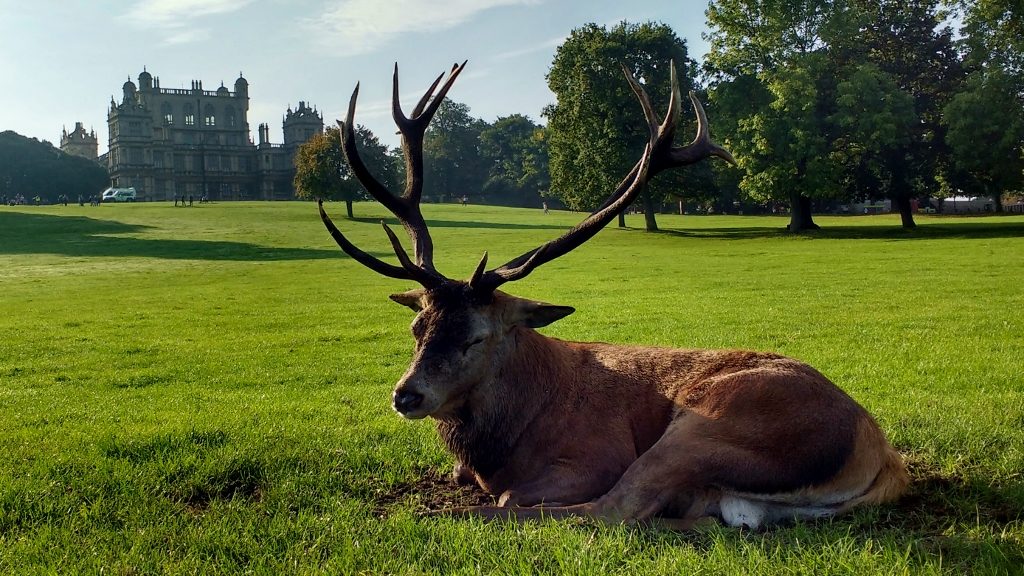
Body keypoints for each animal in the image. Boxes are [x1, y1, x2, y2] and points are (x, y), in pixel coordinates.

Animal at [318, 60, 909, 529]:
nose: (407, 395)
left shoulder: (596, 455)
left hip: (713, 424)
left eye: (476, 337)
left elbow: (516, 496)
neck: (504, 440)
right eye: (417, 327)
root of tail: (880, 456)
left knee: (611, 511)